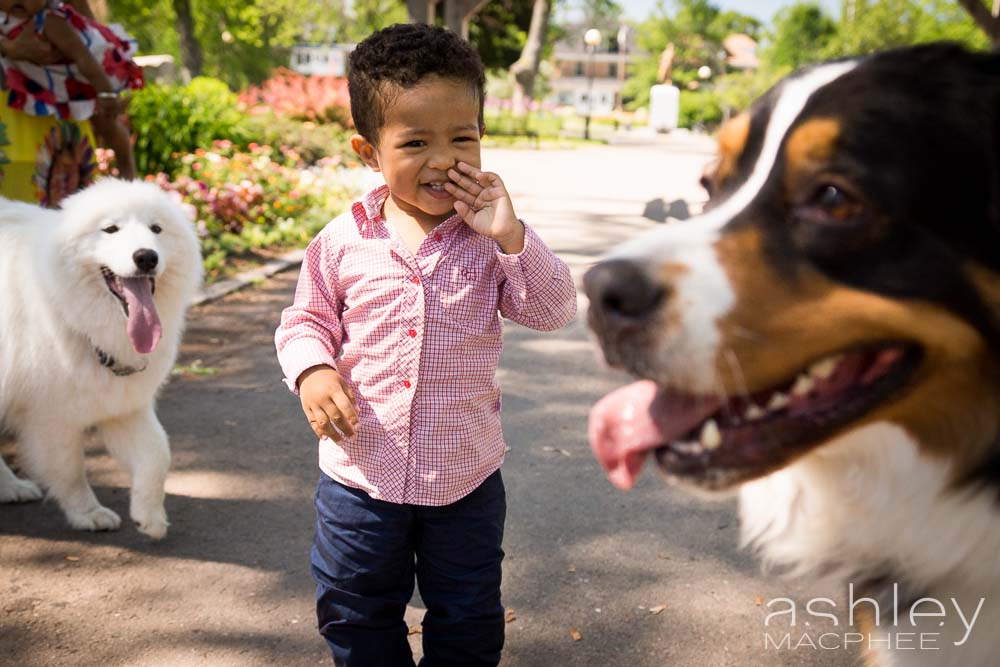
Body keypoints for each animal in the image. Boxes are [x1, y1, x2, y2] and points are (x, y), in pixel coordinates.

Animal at [0, 180, 201, 540]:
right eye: (110, 229)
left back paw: (11, 488)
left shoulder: (122, 403)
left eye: (156, 229)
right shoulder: (50, 417)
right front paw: (88, 513)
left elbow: (157, 454)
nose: (146, 257)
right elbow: (70, 471)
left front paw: (149, 515)